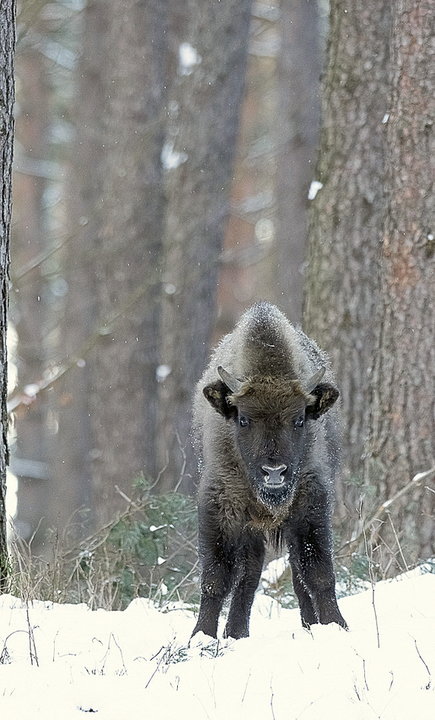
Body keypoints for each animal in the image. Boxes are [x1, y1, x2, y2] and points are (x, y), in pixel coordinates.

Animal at [192, 300, 350, 640]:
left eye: (299, 419)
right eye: (243, 419)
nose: (274, 472)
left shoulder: (310, 503)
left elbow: (317, 572)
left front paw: (336, 625)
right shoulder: (221, 508)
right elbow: (217, 578)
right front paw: (201, 636)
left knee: (295, 574)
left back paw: (307, 625)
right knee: (249, 576)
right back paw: (236, 633)